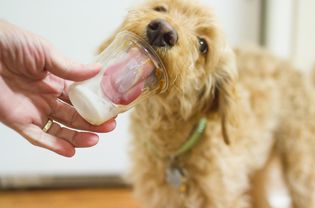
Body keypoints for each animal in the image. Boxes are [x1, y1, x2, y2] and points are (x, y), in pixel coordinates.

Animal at [99, 0, 315, 207]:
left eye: (203, 45)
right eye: (160, 8)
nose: (163, 31)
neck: (172, 149)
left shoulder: (223, 197)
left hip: (301, 170)